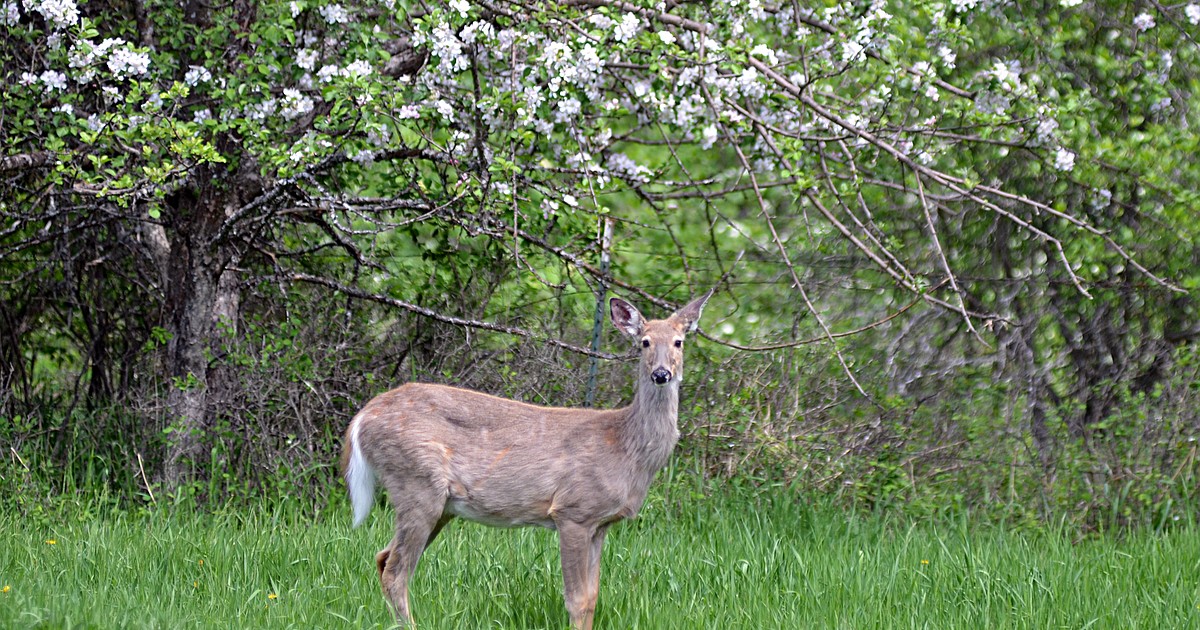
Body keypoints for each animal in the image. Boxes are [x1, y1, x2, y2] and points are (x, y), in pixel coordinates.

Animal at [341, 290, 712, 629]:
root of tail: (363, 416)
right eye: (645, 342)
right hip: (416, 482)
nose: (661, 374)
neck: (624, 447)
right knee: (397, 572)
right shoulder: (573, 511)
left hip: (439, 504)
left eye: (679, 342)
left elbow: (593, 598)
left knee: (383, 558)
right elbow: (576, 599)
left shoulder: (600, 524)